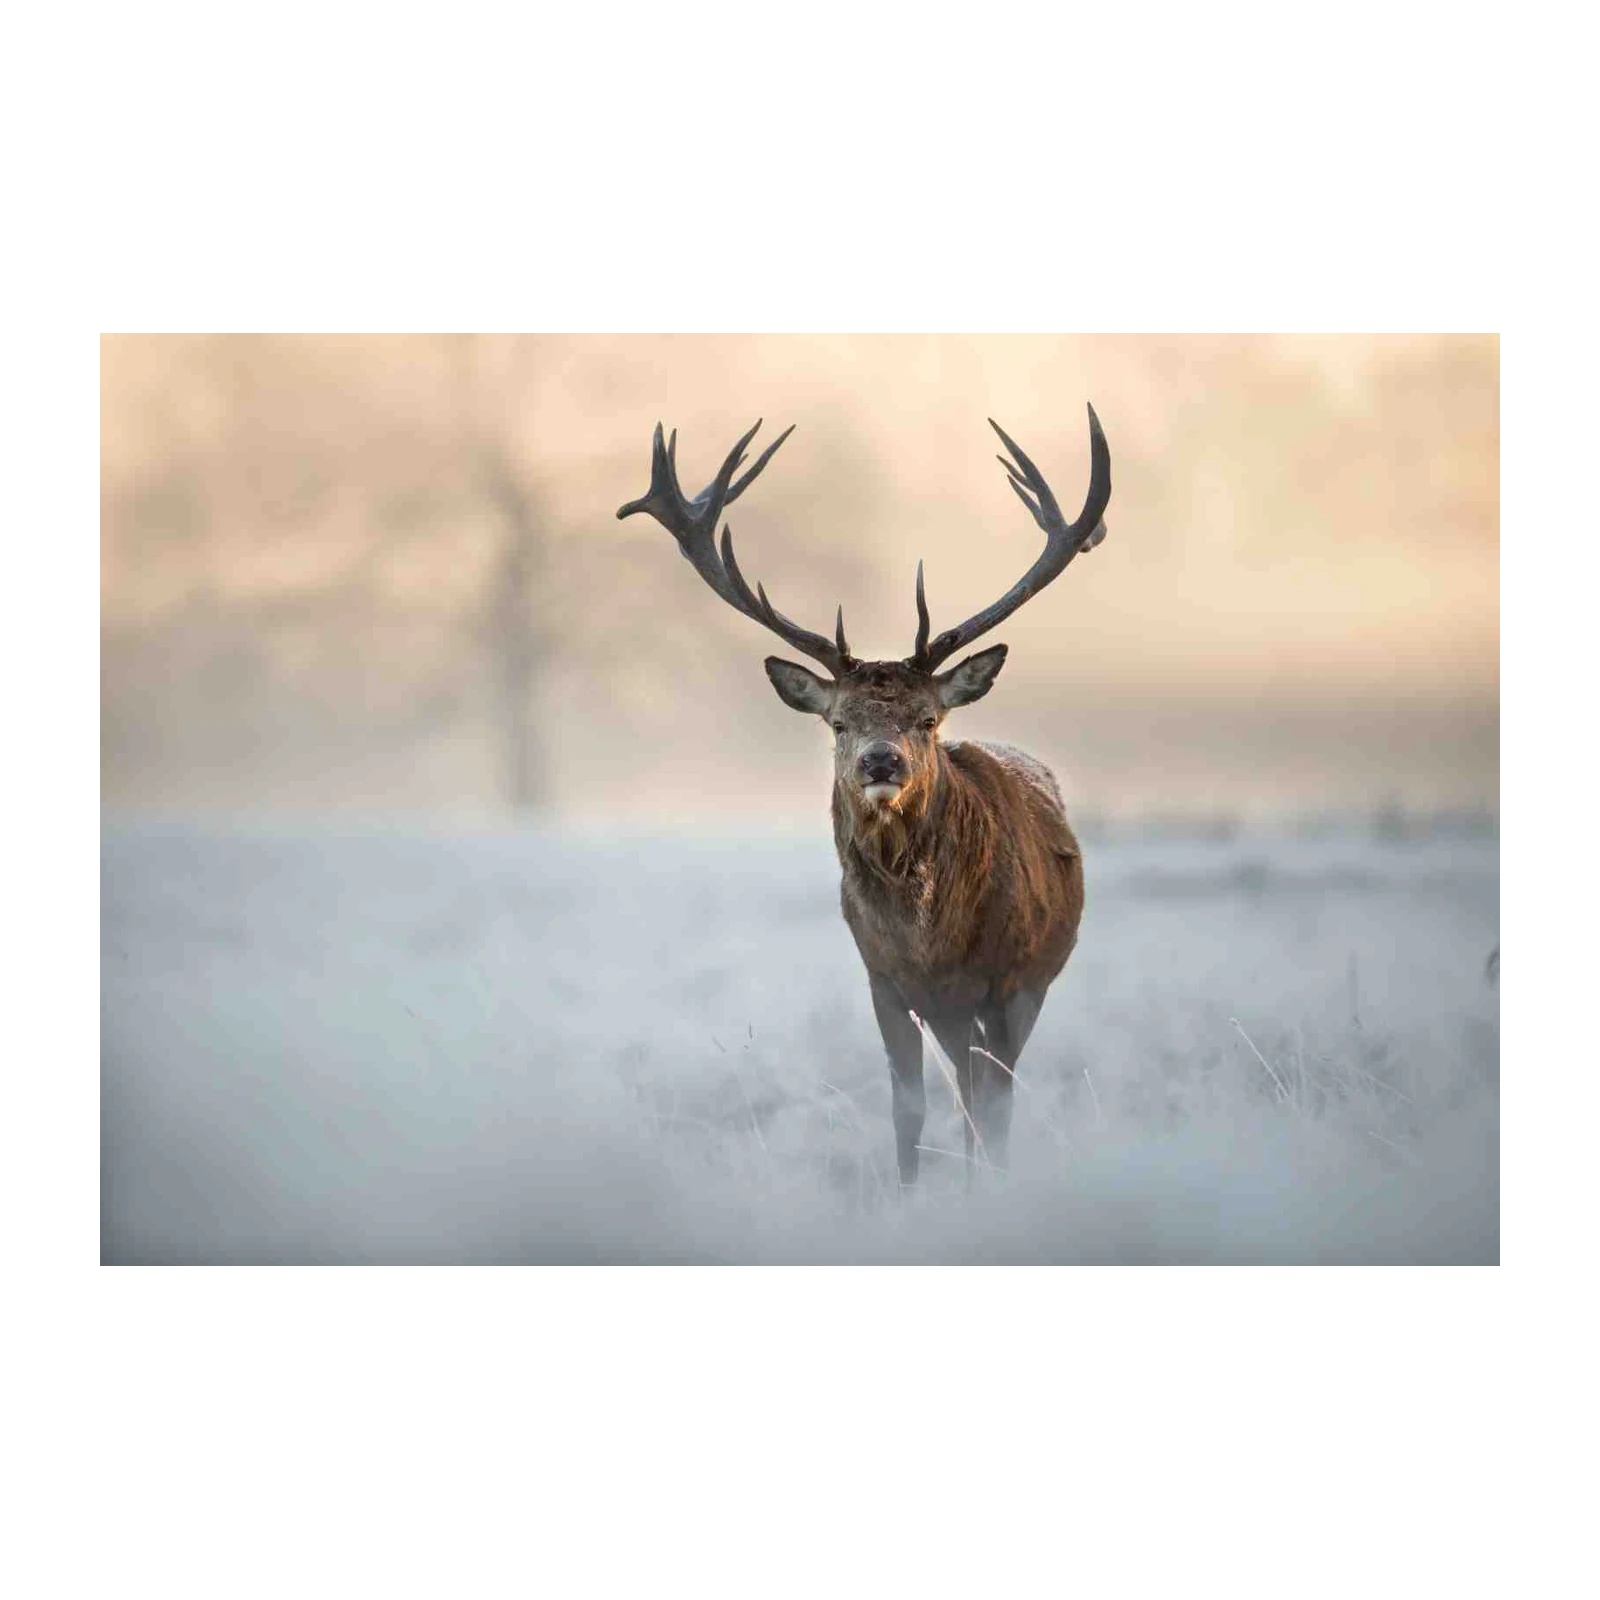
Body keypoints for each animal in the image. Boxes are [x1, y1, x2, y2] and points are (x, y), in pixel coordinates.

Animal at [617, 406, 1111, 1187]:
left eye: (929, 719)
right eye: (840, 722)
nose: (882, 760)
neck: (931, 942)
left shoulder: (1008, 981)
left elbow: (994, 1110)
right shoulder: (884, 980)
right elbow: (908, 1108)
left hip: (1030, 982)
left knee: (985, 1095)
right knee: (964, 1088)